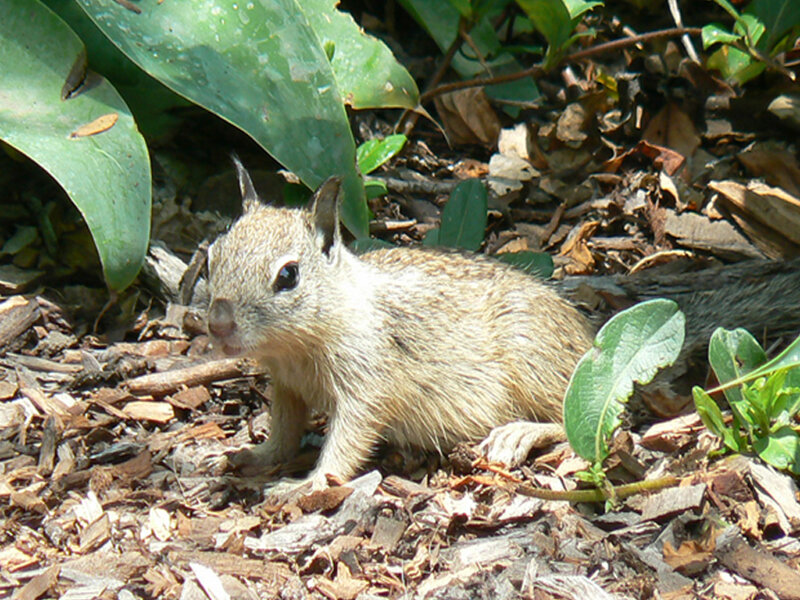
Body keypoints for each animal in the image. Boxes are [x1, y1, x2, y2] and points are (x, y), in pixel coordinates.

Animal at [206, 161, 594, 491]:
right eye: (211, 256)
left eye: (288, 276)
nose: (218, 324)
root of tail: (588, 336)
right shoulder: (287, 387)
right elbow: (283, 435)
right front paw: (253, 455)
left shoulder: (366, 384)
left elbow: (348, 439)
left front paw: (310, 483)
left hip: (532, 356)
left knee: (573, 418)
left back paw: (518, 433)